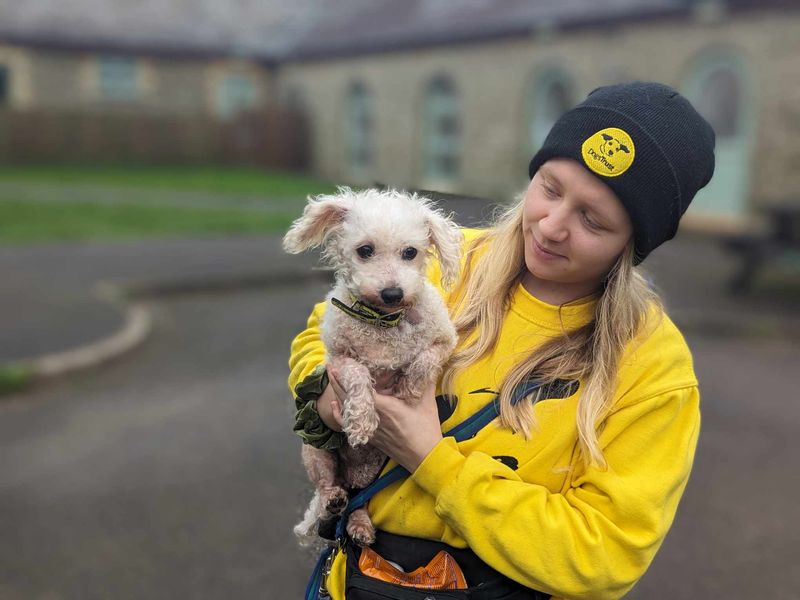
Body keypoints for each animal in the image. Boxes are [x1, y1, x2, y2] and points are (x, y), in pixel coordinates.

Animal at [282, 188, 462, 548]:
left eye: (410, 252)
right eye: (365, 250)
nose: (393, 293)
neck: (382, 321)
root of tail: (352, 475)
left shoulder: (445, 339)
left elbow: (427, 358)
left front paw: (409, 388)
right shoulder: (338, 359)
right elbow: (358, 374)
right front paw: (362, 420)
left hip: (373, 473)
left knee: (360, 498)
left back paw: (359, 524)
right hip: (315, 452)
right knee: (328, 488)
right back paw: (333, 501)